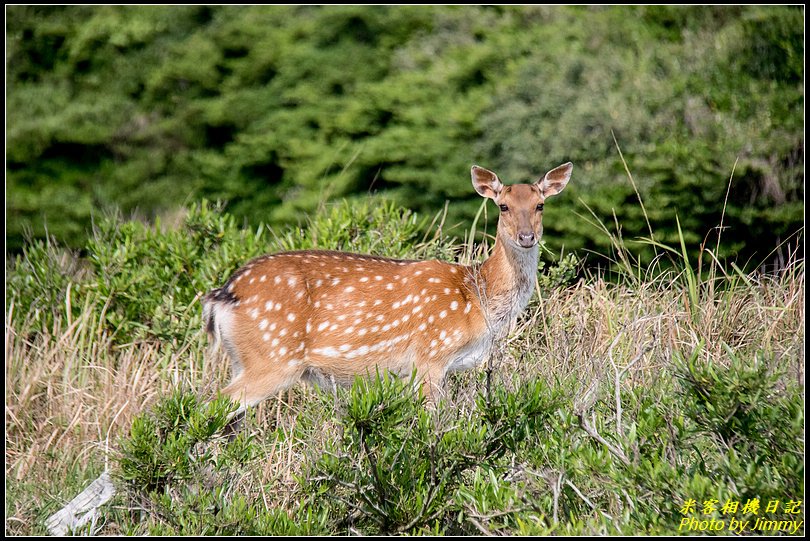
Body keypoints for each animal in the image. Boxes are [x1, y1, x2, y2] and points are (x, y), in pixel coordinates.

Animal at [202, 162, 568, 416]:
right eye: (503, 206)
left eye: (540, 205)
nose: (526, 237)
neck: (477, 298)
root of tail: (222, 294)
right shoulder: (431, 355)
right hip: (272, 357)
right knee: (208, 407)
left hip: (243, 359)